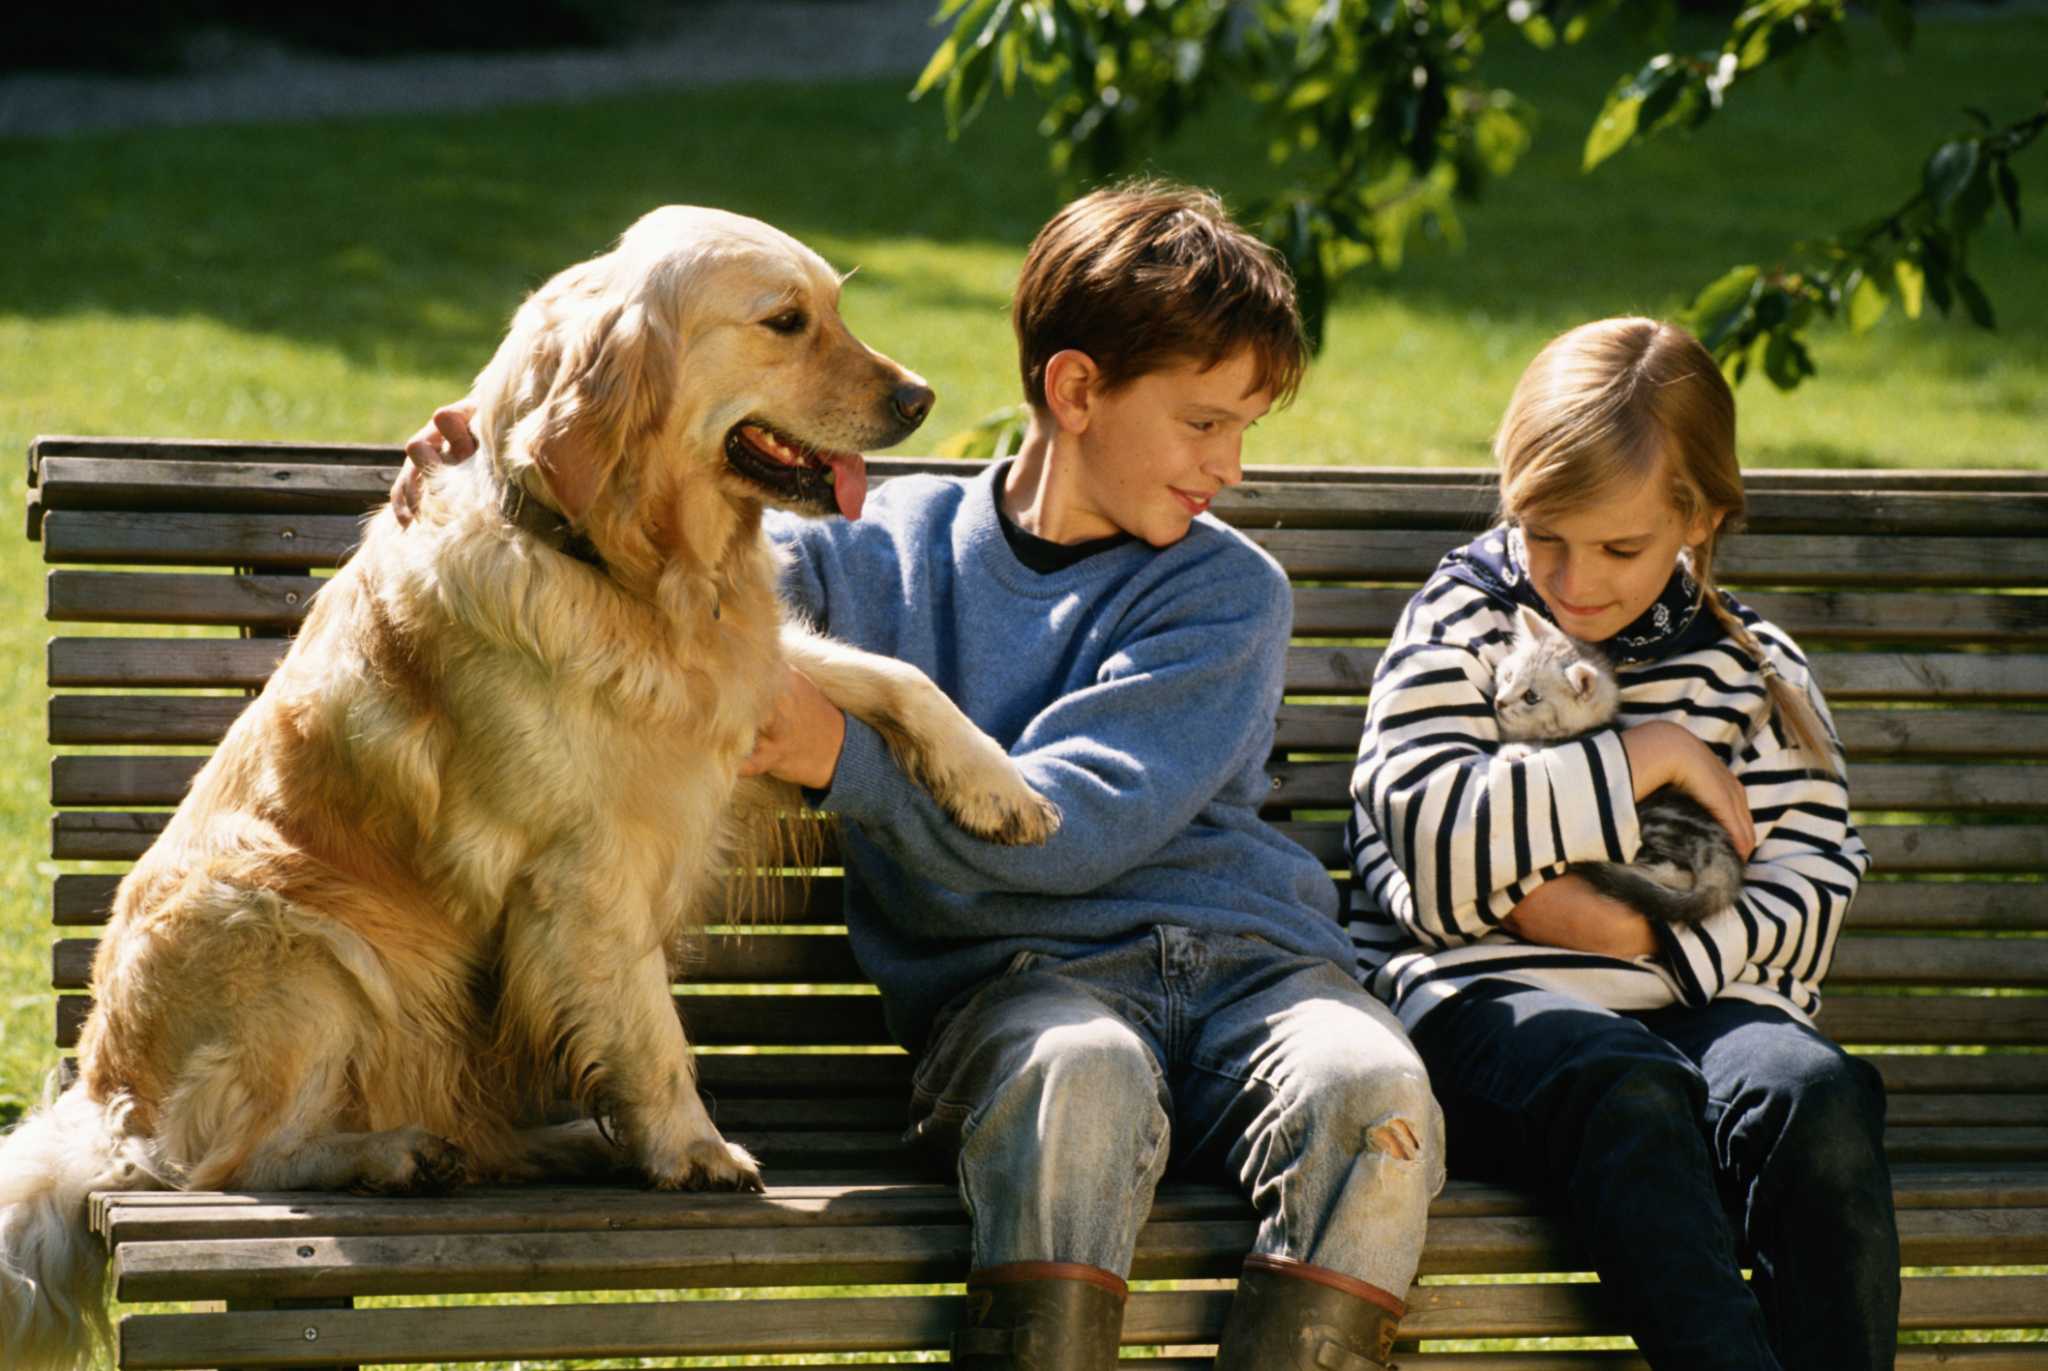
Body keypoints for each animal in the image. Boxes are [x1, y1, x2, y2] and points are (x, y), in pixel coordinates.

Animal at [0, 205, 1056, 1368]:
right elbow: (648, 1025)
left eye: (834, 307)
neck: (619, 566)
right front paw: (691, 1146)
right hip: (299, 943)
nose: (919, 397)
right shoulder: (583, 866)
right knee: (223, 1162)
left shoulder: (740, 687)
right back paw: (397, 1155)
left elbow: (892, 673)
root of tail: (99, 1104)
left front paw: (997, 786)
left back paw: (556, 1140)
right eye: (786, 321)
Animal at [1490, 602, 1744, 926]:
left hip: (1652, 825)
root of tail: (1723, 852)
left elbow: (1537, 748)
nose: (1499, 702)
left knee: (1677, 873)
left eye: (1531, 697)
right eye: (1508, 676)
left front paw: (1514, 751)